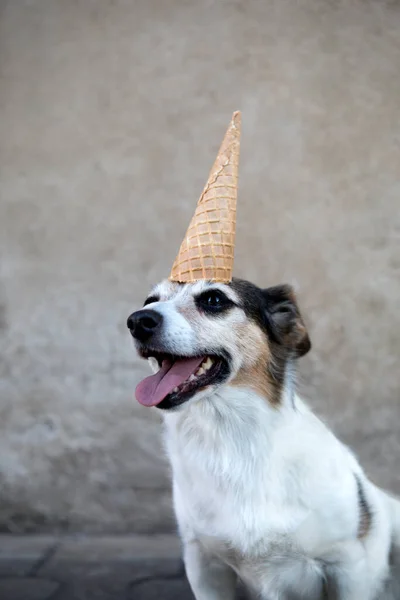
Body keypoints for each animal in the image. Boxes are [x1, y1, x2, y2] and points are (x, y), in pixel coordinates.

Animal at [128, 278, 400, 600]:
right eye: (150, 300)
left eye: (214, 299)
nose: (137, 321)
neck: (234, 442)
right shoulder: (204, 566)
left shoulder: (346, 564)